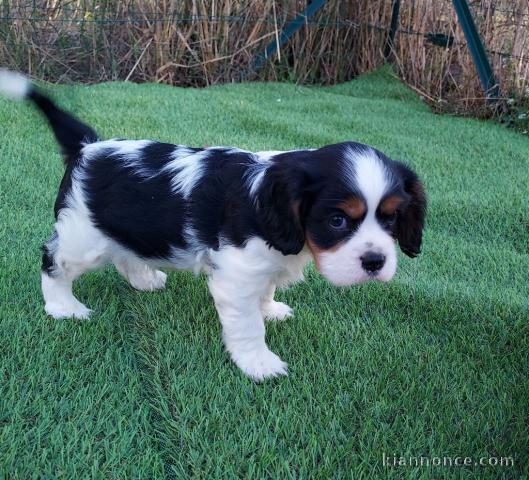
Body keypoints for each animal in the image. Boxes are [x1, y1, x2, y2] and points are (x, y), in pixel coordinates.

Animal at [0, 69, 424, 380]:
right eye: (337, 220)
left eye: (391, 217)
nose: (375, 262)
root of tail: (88, 147)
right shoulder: (237, 275)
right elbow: (248, 325)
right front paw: (259, 364)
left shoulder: (261, 265)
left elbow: (266, 290)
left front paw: (270, 308)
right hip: (83, 238)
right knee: (53, 261)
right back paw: (63, 307)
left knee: (126, 252)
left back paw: (143, 280)